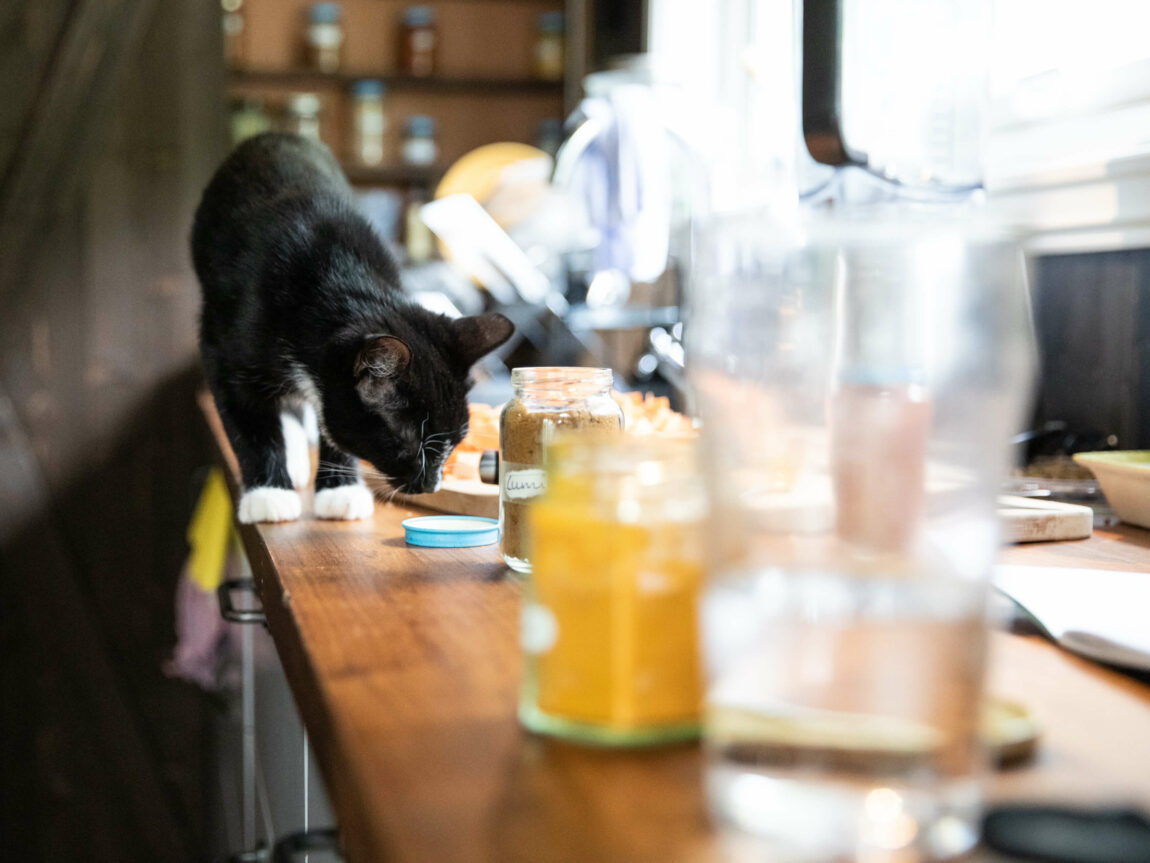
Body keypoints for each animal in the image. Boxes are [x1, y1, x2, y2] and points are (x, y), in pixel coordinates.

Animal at [194, 132, 512, 524]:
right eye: (413, 446)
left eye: (456, 441)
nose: (430, 485)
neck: (335, 278)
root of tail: (274, 135)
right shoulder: (223, 346)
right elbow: (248, 421)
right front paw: (268, 494)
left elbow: (329, 421)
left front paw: (339, 490)